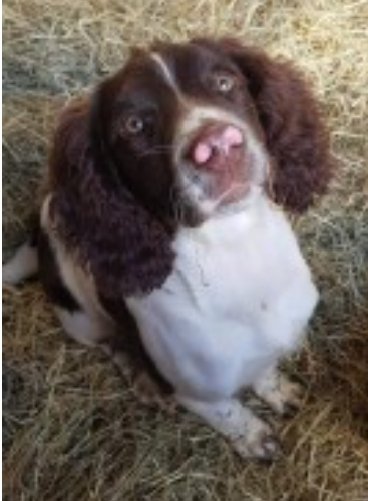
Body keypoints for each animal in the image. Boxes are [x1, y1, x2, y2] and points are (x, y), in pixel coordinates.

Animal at [4, 38, 334, 460]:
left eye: (225, 82)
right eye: (133, 125)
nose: (218, 145)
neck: (233, 250)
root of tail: (42, 226)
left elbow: (263, 368)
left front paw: (276, 389)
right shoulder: (195, 392)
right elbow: (228, 411)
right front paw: (254, 437)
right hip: (82, 319)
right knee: (113, 344)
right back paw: (143, 381)